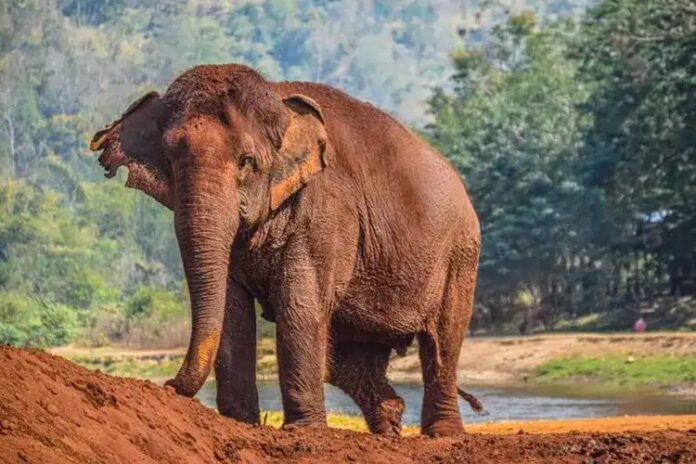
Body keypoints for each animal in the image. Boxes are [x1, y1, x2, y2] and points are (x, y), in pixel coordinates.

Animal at [90, 64, 481, 437]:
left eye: (247, 161)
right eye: (169, 159)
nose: (168, 385)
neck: (277, 98)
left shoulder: (326, 213)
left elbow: (299, 304)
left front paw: (304, 430)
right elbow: (233, 309)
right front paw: (241, 422)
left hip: (460, 254)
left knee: (442, 341)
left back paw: (443, 433)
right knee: (347, 359)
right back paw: (390, 427)